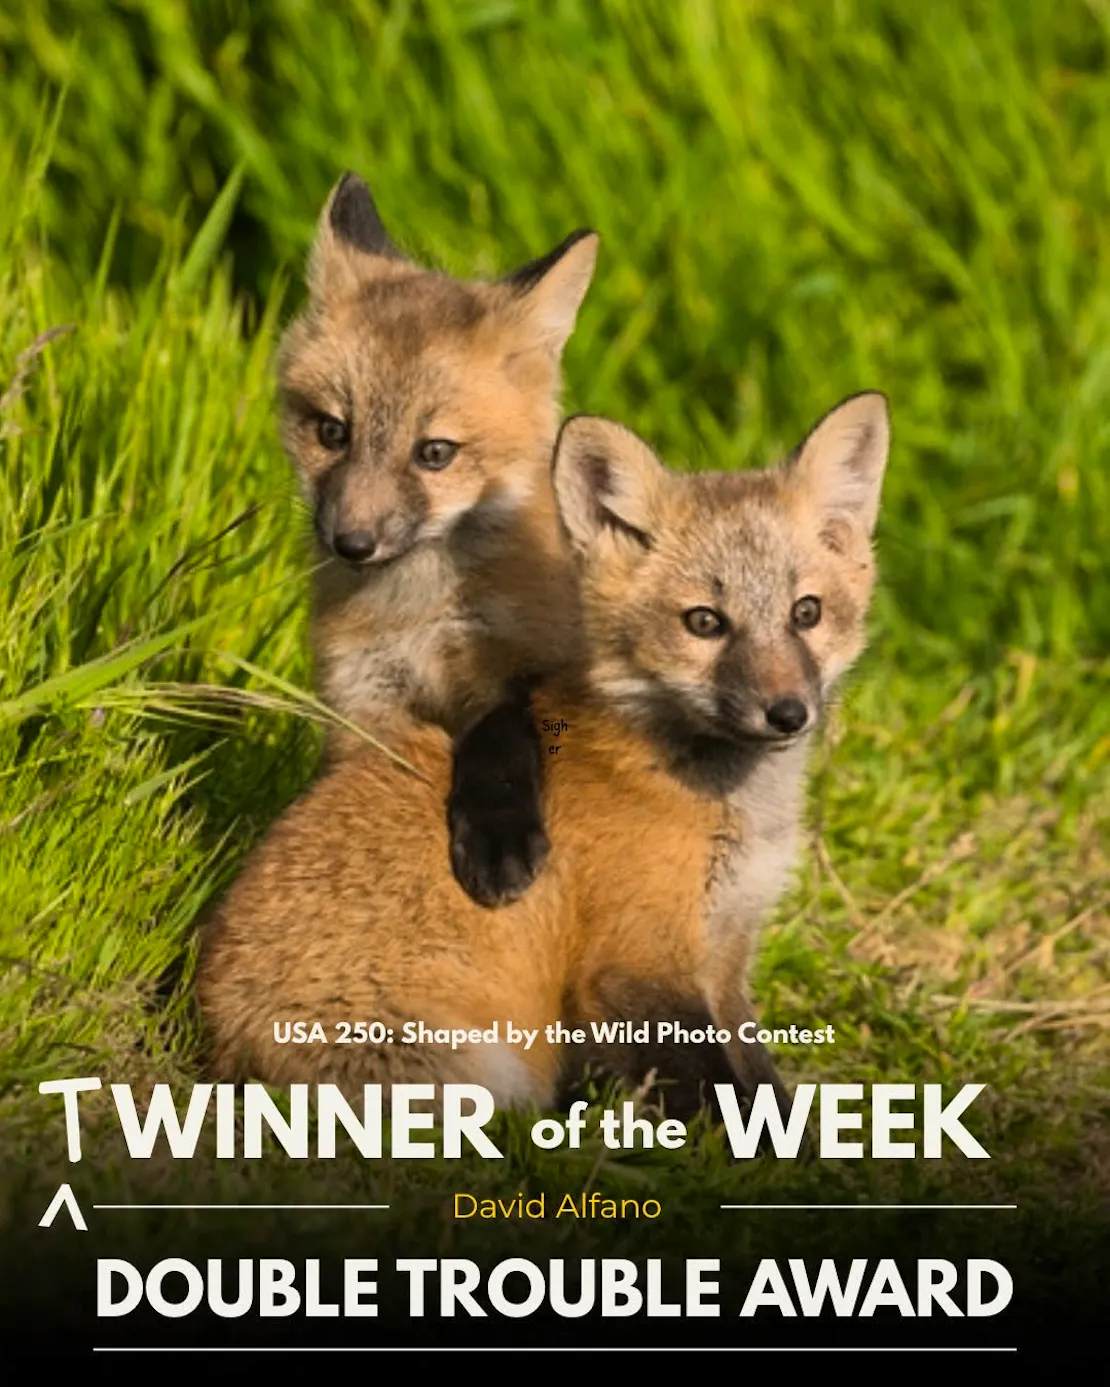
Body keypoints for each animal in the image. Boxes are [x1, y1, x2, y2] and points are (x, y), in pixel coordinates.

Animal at [197, 392, 890, 1121]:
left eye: (806, 613)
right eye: (704, 622)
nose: (788, 713)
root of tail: (216, 1046)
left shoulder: (725, 958)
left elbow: (767, 1090)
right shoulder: (634, 968)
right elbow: (724, 1106)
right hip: (489, 1075)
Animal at [279, 171, 599, 907]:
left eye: (435, 453)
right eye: (332, 432)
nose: (352, 542)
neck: (416, 617)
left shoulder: (529, 662)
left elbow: (501, 738)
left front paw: (498, 841)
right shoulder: (362, 699)